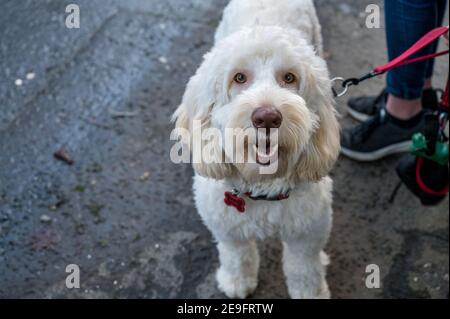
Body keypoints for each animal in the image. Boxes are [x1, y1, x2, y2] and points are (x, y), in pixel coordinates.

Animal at [173, 0, 342, 300]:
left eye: (289, 77)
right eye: (239, 77)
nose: (267, 118)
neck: (262, 185)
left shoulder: (308, 231)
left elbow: (304, 267)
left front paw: (310, 293)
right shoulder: (226, 226)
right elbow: (236, 255)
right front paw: (237, 281)